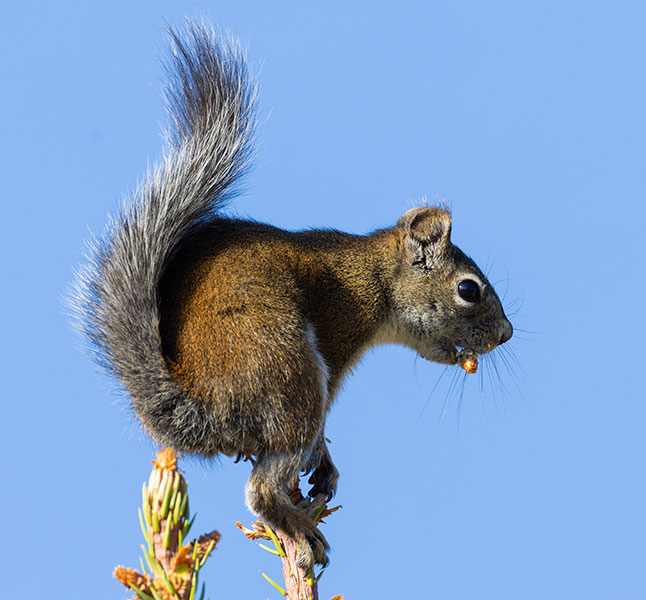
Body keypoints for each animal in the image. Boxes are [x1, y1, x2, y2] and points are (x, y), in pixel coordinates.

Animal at [71, 21, 513, 569]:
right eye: (468, 289)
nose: (506, 334)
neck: (373, 278)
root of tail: (200, 403)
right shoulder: (340, 331)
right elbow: (322, 423)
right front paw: (323, 456)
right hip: (289, 372)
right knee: (264, 483)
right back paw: (300, 527)